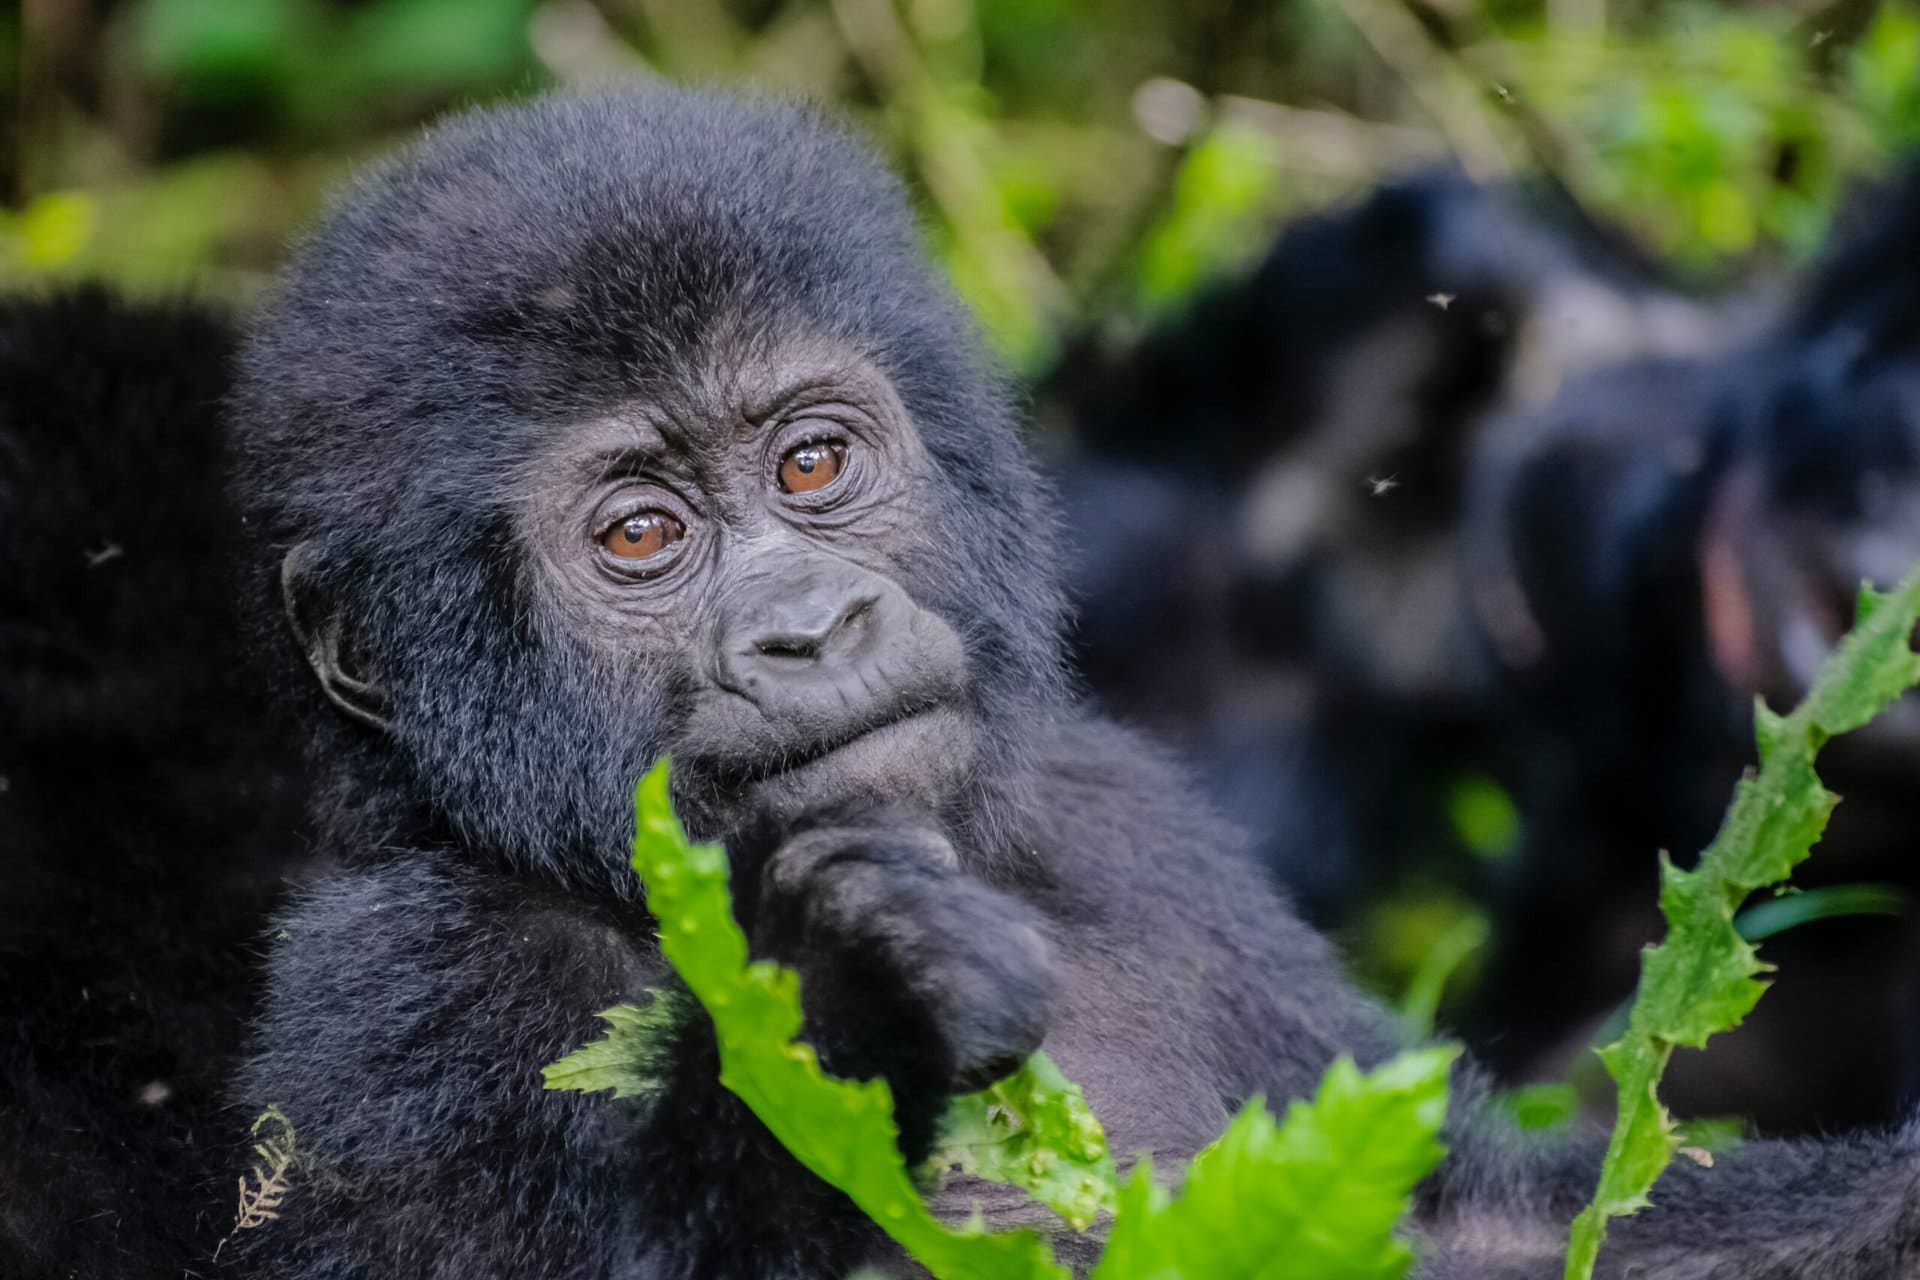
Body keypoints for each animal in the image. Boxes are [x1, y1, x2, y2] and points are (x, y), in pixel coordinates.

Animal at [228, 90, 1920, 1280]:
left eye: (813, 463)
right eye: (641, 535)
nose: (810, 630)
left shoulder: (1141, 837)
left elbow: (1504, 1221)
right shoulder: (419, 989)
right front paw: (847, 995)